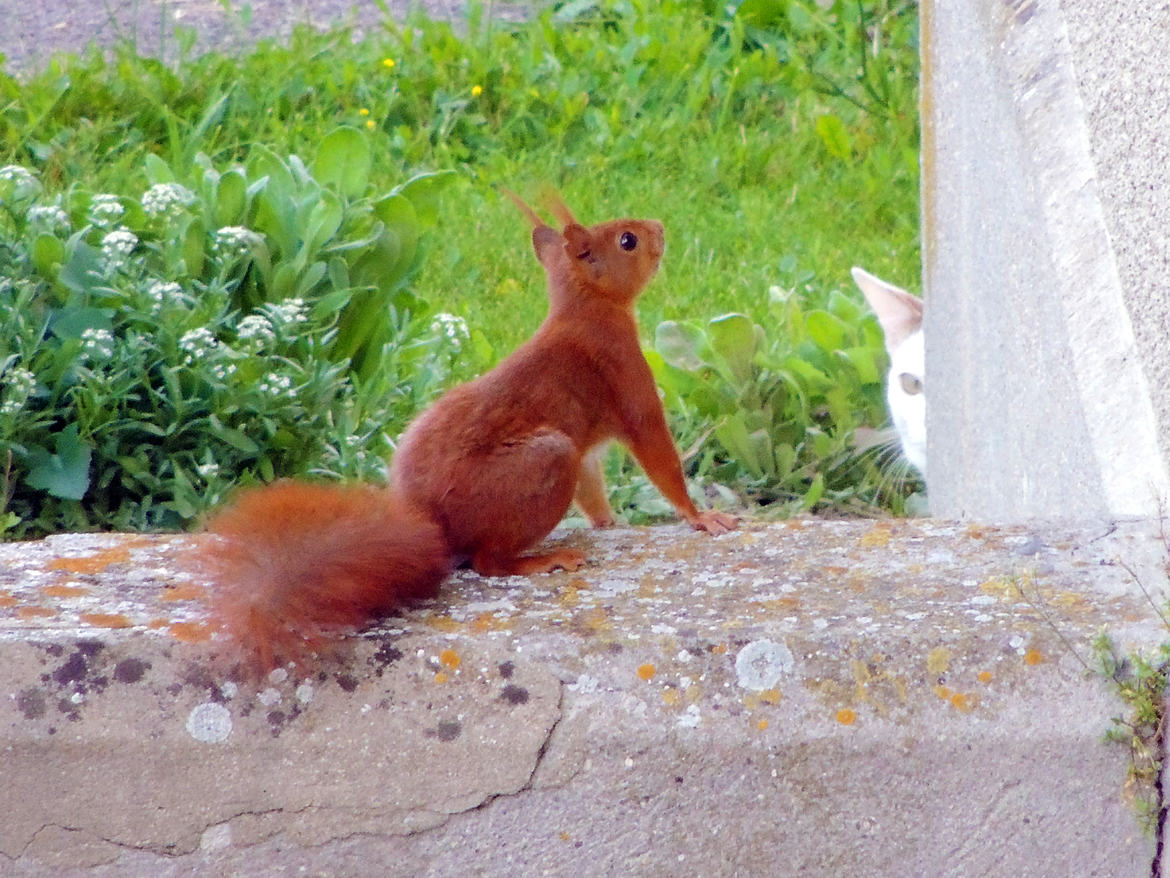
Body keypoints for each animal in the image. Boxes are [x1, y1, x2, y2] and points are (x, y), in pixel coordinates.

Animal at [196, 191, 734, 669]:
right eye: (627, 240)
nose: (660, 228)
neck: (586, 308)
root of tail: (435, 526)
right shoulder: (625, 374)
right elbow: (657, 452)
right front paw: (701, 516)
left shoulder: (589, 451)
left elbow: (593, 487)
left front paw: (608, 524)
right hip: (546, 460)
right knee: (488, 562)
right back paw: (541, 560)